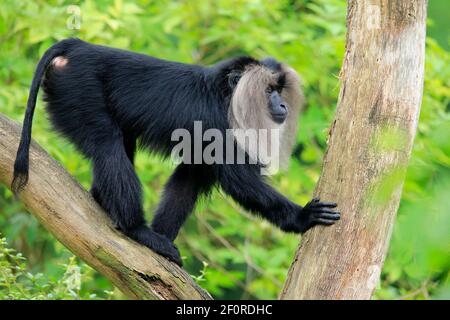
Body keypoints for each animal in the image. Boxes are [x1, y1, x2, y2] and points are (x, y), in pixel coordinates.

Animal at [12, 38, 340, 266]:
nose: (282, 104)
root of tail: (78, 47)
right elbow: (238, 180)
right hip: (77, 90)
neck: (226, 94)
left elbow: (191, 177)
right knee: (108, 144)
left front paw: (163, 234)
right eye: (268, 91)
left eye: (278, 91)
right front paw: (302, 217)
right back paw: (135, 229)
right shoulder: (218, 121)